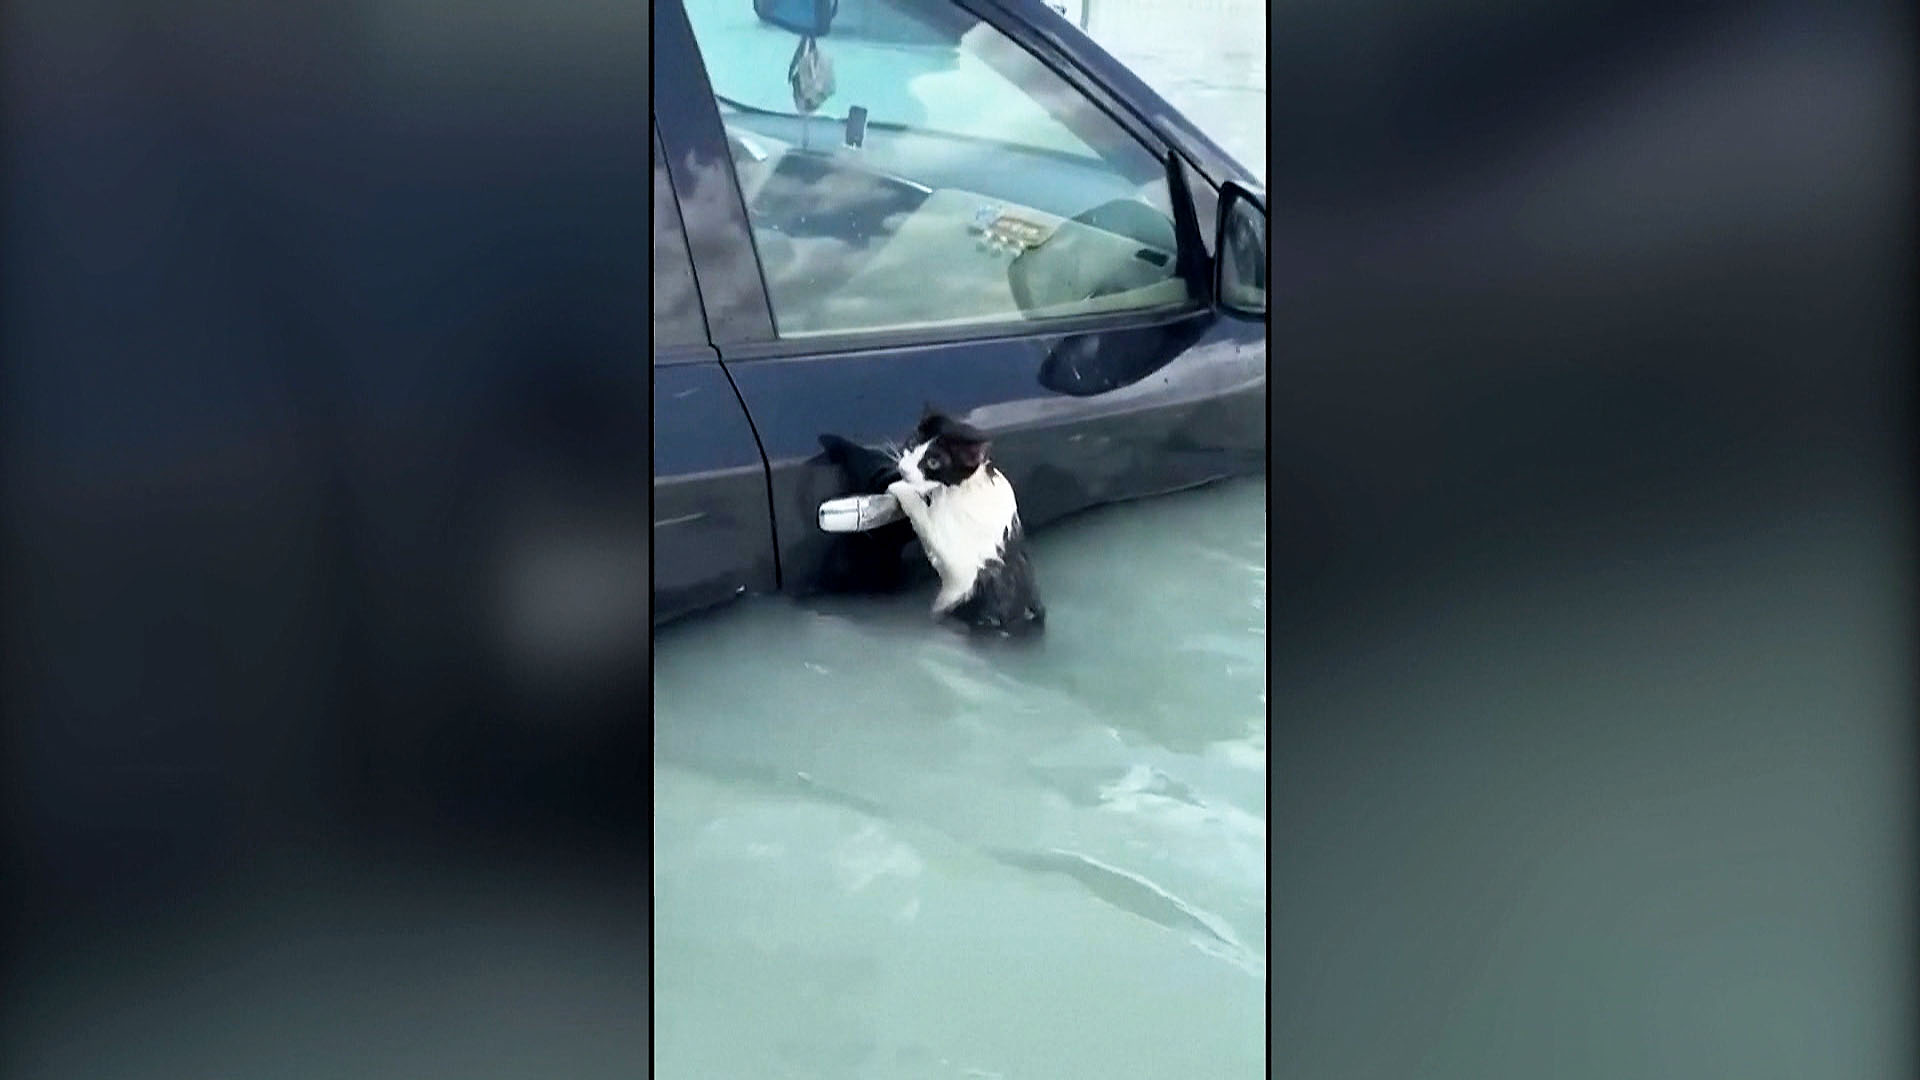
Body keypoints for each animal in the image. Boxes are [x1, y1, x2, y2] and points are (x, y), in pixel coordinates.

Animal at [883, 407, 1052, 634]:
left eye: (933, 462)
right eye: (911, 444)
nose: (904, 470)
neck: (965, 485)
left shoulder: (955, 554)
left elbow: (927, 521)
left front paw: (901, 488)